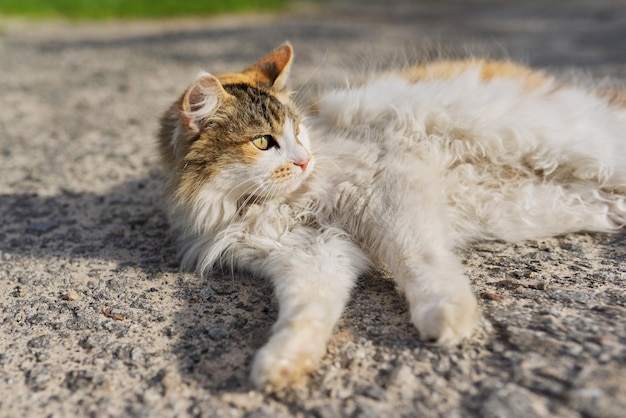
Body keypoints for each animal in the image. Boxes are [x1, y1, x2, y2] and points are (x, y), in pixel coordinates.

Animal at [157, 42, 624, 388]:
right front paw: (284, 362)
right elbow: (306, 311)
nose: (305, 160)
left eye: (298, 132)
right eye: (262, 142)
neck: (267, 203)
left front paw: (448, 316)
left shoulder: (388, 193)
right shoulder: (310, 253)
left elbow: (418, 261)